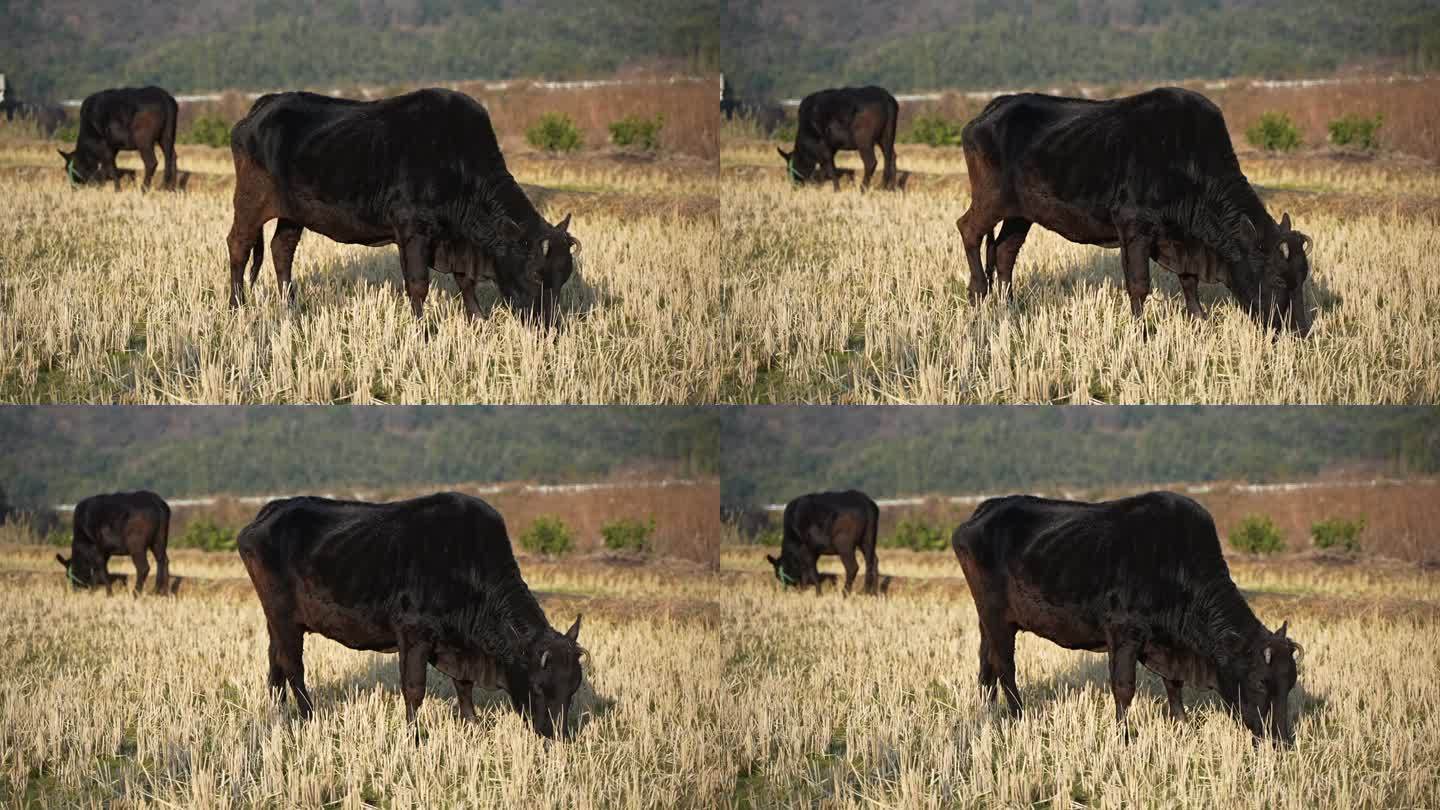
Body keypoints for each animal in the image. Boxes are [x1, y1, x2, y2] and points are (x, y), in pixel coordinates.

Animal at [227, 88, 576, 324]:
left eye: (564, 277)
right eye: (535, 275)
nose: (550, 327)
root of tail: (265, 104)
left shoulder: (457, 240)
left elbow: (465, 279)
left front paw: (478, 319)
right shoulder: (413, 229)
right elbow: (418, 284)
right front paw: (422, 330)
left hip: (293, 212)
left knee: (281, 249)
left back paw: (290, 307)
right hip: (250, 199)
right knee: (239, 245)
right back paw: (236, 306)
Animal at [239, 490, 587, 735]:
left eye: (573, 689)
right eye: (539, 687)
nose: (556, 735)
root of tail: (272, 509)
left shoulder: (458, 644)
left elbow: (463, 685)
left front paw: (472, 723)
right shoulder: (413, 634)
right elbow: (414, 688)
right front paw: (415, 734)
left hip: (278, 620)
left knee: (275, 660)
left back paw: (279, 711)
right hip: (284, 616)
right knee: (293, 666)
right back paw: (309, 715)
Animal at [950, 490, 1301, 743]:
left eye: (1290, 684)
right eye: (1259, 682)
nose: (1282, 741)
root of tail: (986, 509)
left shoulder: (1168, 644)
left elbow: (1173, 685)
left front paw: (1182, 725)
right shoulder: (1123, 633)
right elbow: (1123, 687)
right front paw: (1125, 736)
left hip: (988, 619)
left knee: (986, 664)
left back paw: (989, 712)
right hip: (997, 616)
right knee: (1006, 667)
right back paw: (1018, 716)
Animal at [961, 85, 1313, 331]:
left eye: (1302, 278)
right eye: (1277, 279)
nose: (1300, 331)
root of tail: (993, 108)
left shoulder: (1183, 239)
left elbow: (1189, 280)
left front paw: (1199, 318)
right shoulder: (1134, 227)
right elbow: (1140, 284)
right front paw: (1141, 329)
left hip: (1021, 214)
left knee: (1005, 252)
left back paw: (1009, 305)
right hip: (990, 199)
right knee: (968, 230)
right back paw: (977, 293)